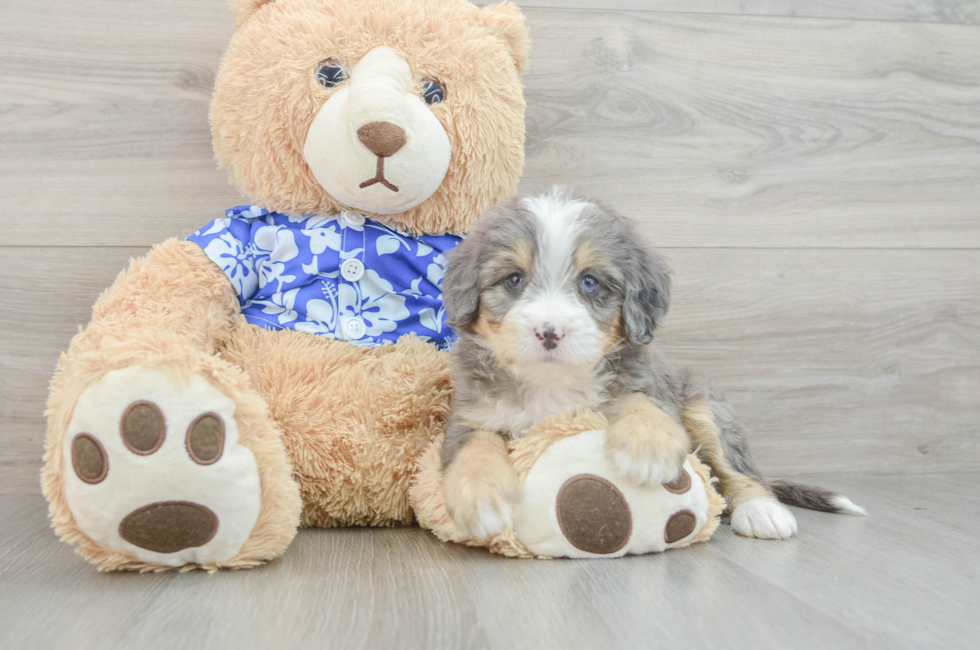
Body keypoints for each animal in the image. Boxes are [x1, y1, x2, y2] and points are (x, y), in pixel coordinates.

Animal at [442, 186, 864, 536]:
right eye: (513, 279)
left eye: (590, 282)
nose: (550, 332)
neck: (552, 384)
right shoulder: (470, 415)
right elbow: (474, 446)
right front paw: (479, 499)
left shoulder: (648, 381)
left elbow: (643, 401)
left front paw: (649, 448)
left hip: (707, 407)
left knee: (740, 471)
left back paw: (762, 511)